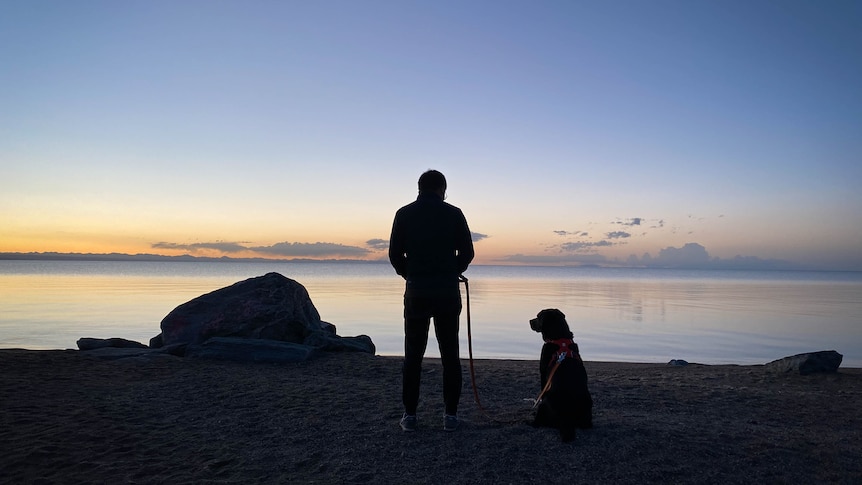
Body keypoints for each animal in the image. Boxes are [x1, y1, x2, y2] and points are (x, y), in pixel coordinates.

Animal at [528, 308, 592, 440]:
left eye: (538, 316)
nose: (530, 321)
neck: (559, 336)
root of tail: (566, 416)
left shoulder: (543, 372)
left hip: (545, 403)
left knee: (538, 422)